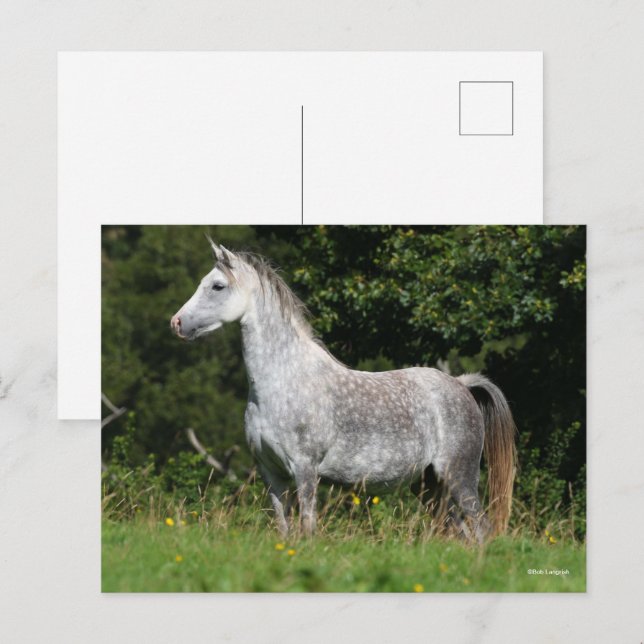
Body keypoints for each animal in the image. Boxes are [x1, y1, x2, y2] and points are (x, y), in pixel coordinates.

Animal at [170, 239, 517, 543]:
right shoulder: (272, 474)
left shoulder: (305, 470)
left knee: (481, 528)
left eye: (217, 286)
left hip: (459, 477)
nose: (176, 323)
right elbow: (284, 529)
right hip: (429, 486)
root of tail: (462, 385)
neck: (284, 381)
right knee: (463, 533)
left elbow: (308, 528)